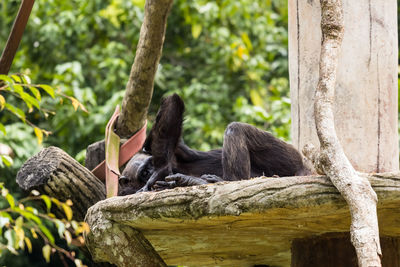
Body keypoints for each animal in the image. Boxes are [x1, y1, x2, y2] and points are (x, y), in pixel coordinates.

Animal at [117, 94, 310, 197]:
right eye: (143, 173)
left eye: (149, 165)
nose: (151, 170)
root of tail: (305, 169)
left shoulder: (177, 153)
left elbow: (170, 112)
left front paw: (161, 170)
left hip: (290, 158)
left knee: (234, 128)